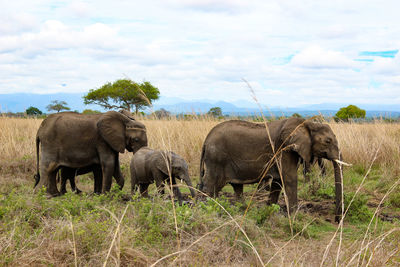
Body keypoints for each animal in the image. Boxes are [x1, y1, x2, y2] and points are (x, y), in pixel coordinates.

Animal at [197, 118, 344, 223]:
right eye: (328, 141)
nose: (336, 220)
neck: (307, 123)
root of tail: (205, 140)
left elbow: (278, 182)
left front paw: (269, 211)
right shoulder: (284, 149)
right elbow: (289, 178)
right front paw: (294, 216)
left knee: (236, 187)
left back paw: (241, 210)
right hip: (216, 158)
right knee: (211, 186)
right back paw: (208, 211)